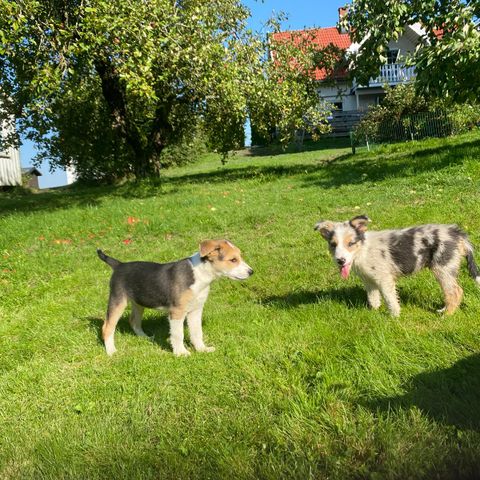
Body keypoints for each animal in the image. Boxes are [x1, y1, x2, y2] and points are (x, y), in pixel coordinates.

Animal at [98, 240, 255, 356]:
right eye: (233, 260)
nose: (251, 272)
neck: (199, 274)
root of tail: (119, 265)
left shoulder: (196, 310)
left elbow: (197, 332)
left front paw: (202, 349)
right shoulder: (177, 312)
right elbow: (178, 334)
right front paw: (181, 353)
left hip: (139, 302)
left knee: (134, 321)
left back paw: (145, 337)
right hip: (118, 301)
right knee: (107, 327)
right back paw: (111, 351)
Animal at [316, 216, 480, 316]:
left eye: (351, 243)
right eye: (333, 245)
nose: (340, 260)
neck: (363, 250)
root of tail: (457, 233)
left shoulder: (385, 280)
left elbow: (390, 300)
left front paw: (394, 317)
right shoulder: (369, 281)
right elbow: (373, 299)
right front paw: (373, 313)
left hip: (443, 267)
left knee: (455, 292)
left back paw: (447, 315)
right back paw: (444, 310)